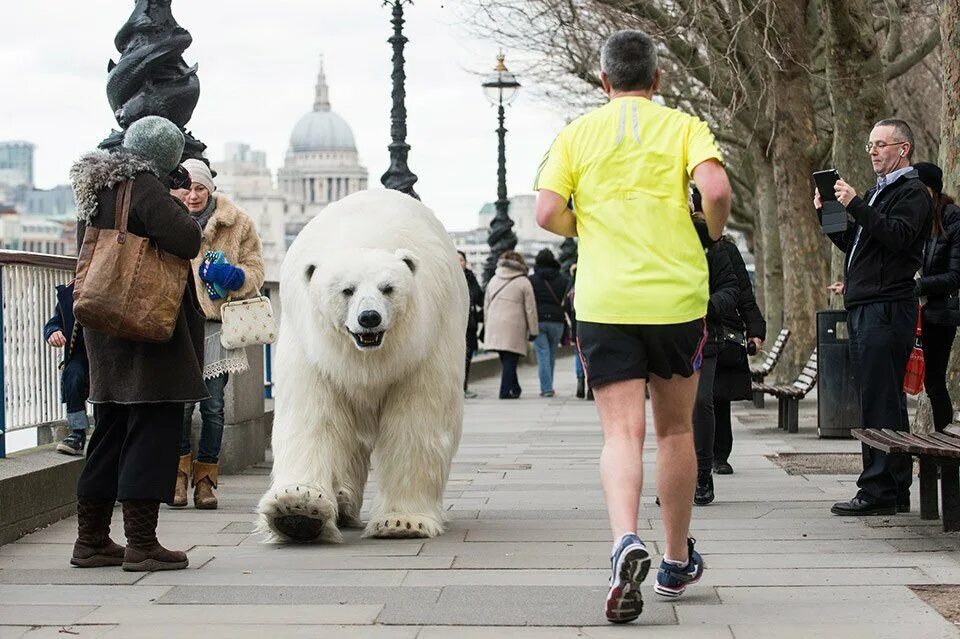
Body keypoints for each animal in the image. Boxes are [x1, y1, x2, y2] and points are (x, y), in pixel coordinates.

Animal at [255, 188, 464, 544]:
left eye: (388, 288)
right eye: (346, 290)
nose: (369, 318)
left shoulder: (423, 346)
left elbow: (416, 421)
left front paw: (402, 522)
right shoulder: (314, 350)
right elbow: (312, 418)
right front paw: (297, 509)